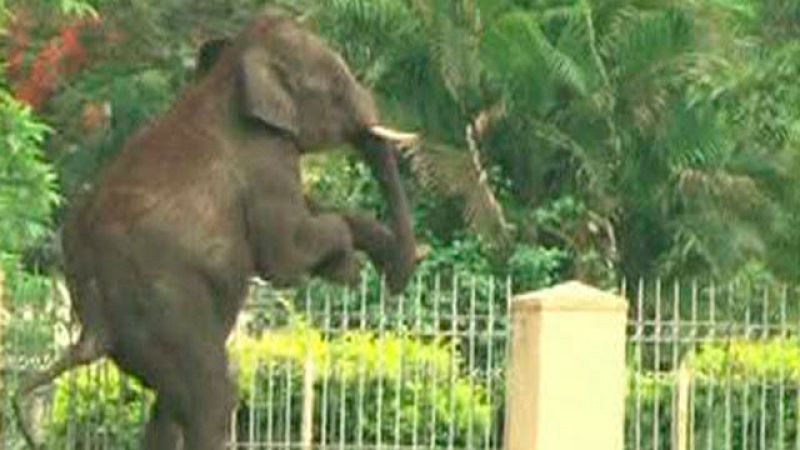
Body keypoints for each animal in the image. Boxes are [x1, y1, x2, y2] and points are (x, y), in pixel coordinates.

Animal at [14, 9, 420, 450]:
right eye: (335, 88)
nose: (395, 282)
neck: (231, 70)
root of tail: (91, 323)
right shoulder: (265, 153)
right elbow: (284, 255)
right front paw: (349, 267)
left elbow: (309, 213)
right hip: (164, 303)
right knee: (211, 397)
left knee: (169, 405)